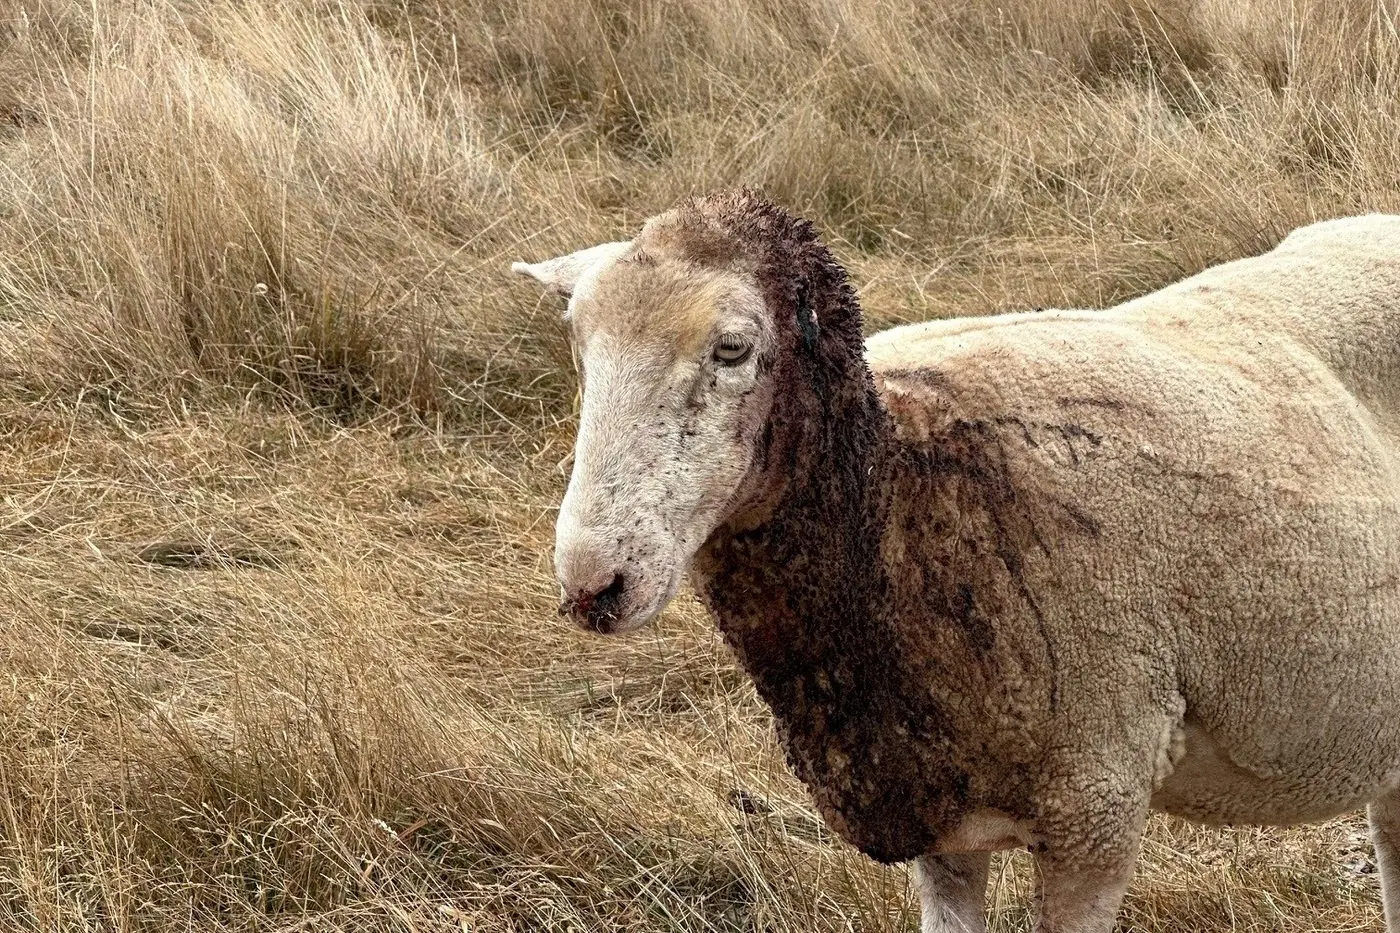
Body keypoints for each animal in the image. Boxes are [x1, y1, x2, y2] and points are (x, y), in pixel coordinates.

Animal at [512, 190, 1400, 933]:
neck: (901, 490)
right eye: (579, 347)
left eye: (732, 348)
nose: (593, 585)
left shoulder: (1096, 812)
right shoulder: (939, 820)